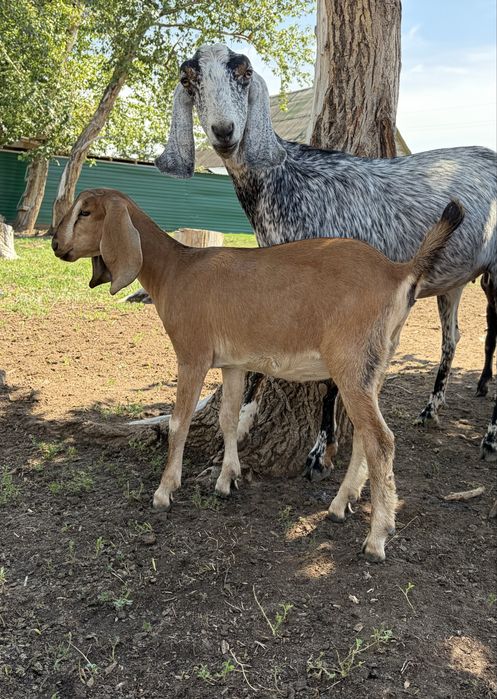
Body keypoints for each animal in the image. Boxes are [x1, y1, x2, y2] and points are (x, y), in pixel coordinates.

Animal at [52, 188, 464, 561]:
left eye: (85, 211)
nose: (56, 244)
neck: (176, 268)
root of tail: (398, 271)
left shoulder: (192, 356)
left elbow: (179, 422)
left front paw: (164, 491)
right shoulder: (233, 363)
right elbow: (229, 417)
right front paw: (226, 480)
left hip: (352, 363)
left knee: (382, 441)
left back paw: (377, 537)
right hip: (374, 366)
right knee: (365, 437)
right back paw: (339, 505)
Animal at [155, 43, 497, 468]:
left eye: (245, 73)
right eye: (188, 79)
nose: (224, 131)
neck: (290, 182)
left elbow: (331, 376)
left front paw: (321, 448)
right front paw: (248, 415)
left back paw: (490, 437)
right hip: (454, 280)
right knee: (452, 338)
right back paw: (430, 410)